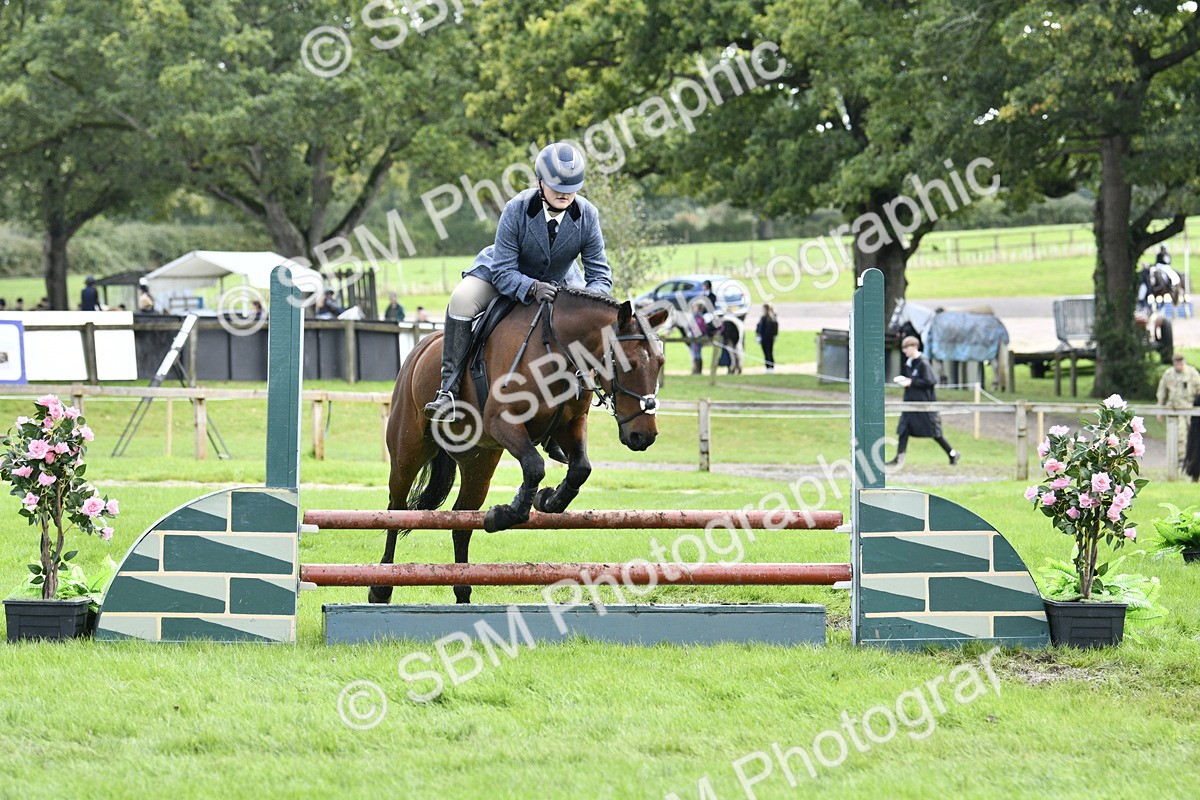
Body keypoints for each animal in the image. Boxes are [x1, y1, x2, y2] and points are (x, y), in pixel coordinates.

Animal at [372, 287, 670, 604]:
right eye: (628, 364)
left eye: (660, 363)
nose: (643, 436)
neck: (556, 349)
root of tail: (421, 346)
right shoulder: (503, 421)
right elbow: (535, 466)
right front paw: (506, 513)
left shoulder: (571, 423)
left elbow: (580, 469)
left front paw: (548, 500)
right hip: (408, 451)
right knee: (395, 508)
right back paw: (381, 586)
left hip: (479, 462)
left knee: (461, 521)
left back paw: (463, 590)